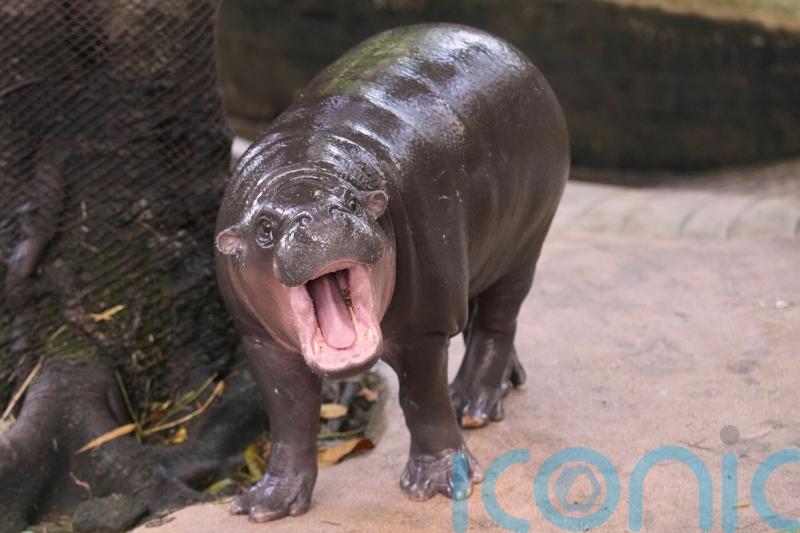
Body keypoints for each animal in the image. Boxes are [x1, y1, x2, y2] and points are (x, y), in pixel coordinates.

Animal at [215, 23, 569, 523]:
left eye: (352, 201)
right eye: (264, 227)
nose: (319, 218)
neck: (304, 165)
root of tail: (505, 46)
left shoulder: (425, 327)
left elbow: (422, 400)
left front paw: (440, 484)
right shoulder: (260, 341)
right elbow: (290, 415)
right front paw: (266, 504)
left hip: (525, 242)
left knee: (498, 321)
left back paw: (472, 404)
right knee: (481, 315)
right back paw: (502, 386)